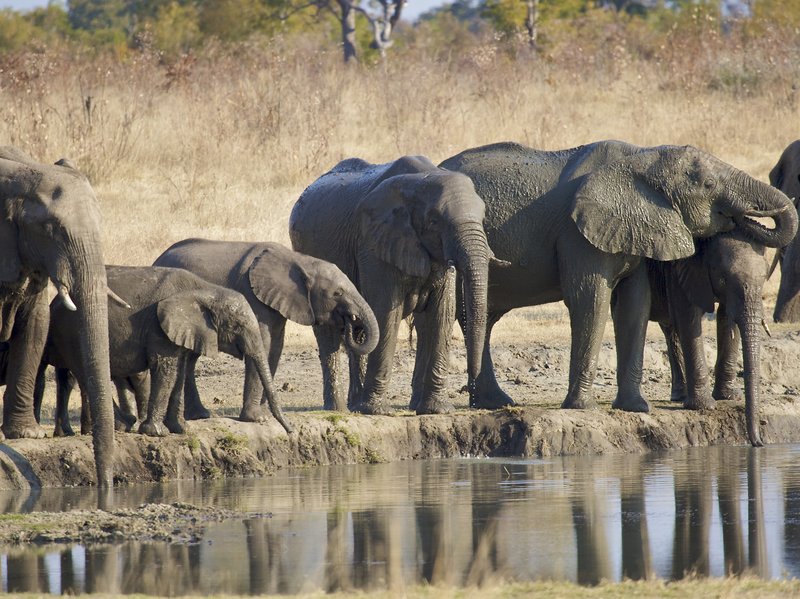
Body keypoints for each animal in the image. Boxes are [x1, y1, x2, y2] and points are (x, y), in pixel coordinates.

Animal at [42, 265, 292, 437]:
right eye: (237, 326)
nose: (289, 431)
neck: (206, 290)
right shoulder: (158, 327)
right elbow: (166, 369)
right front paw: (156, 432)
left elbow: (179, 371)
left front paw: (181, 429)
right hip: (72, 332)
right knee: (84, 375)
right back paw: (121, 426)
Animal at [152, 239, 379, 414]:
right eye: (337, 293)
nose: (351, 323)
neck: (300, 261)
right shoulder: (254, 297)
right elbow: (263, 343)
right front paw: (257, 416)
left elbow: (275, 349)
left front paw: (265, 413)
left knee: (189, 359)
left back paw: (199, 415)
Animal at [290, 155, 490, 415]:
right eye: (434, 221)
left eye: (483, 218)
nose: (470, 387)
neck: (422, 180)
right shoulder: (373, 243)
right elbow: (386, 315)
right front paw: (377, 410)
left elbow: (441, 315)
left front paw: (437, 410)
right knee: (329, 333)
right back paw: (338, 409)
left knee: (360, 331)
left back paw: (355, 405)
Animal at [440, 141, 797, 413]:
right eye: (709, 186)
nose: (752, 217)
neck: (642, 158)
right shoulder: (578, 233)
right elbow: (590, 300)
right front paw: (582, 407)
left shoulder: (633, 229)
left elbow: (633, 305)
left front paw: (635, 408)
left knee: (480, 318)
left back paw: (494, 403)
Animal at [641, 232, 770, 446]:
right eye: (723, 279)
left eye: (765, 277)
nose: (759, 443)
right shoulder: (680, 266)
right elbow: (688, 315)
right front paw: (704, 406)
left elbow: (726, 316)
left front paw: (728, 397)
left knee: (670, 327)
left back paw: (680, 396)